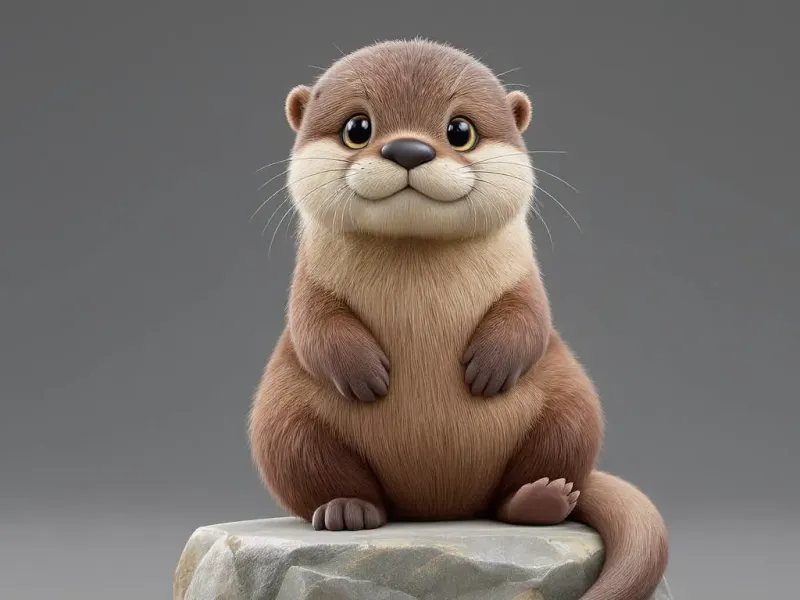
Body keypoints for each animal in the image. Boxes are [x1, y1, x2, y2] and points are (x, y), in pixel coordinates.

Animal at [248, 39, 668, 600]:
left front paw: (488, 369)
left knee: (531, 476)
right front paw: (365, 374)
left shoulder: (526, 278)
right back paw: (346, 511)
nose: (408, 150)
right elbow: (314, 323)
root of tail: (439, 507)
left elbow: (530, 316)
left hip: (571, 408)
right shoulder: (308, 284)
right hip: (283, 422)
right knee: (314, 468)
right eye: (357, 127)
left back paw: (539, 501)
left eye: (459, 130)